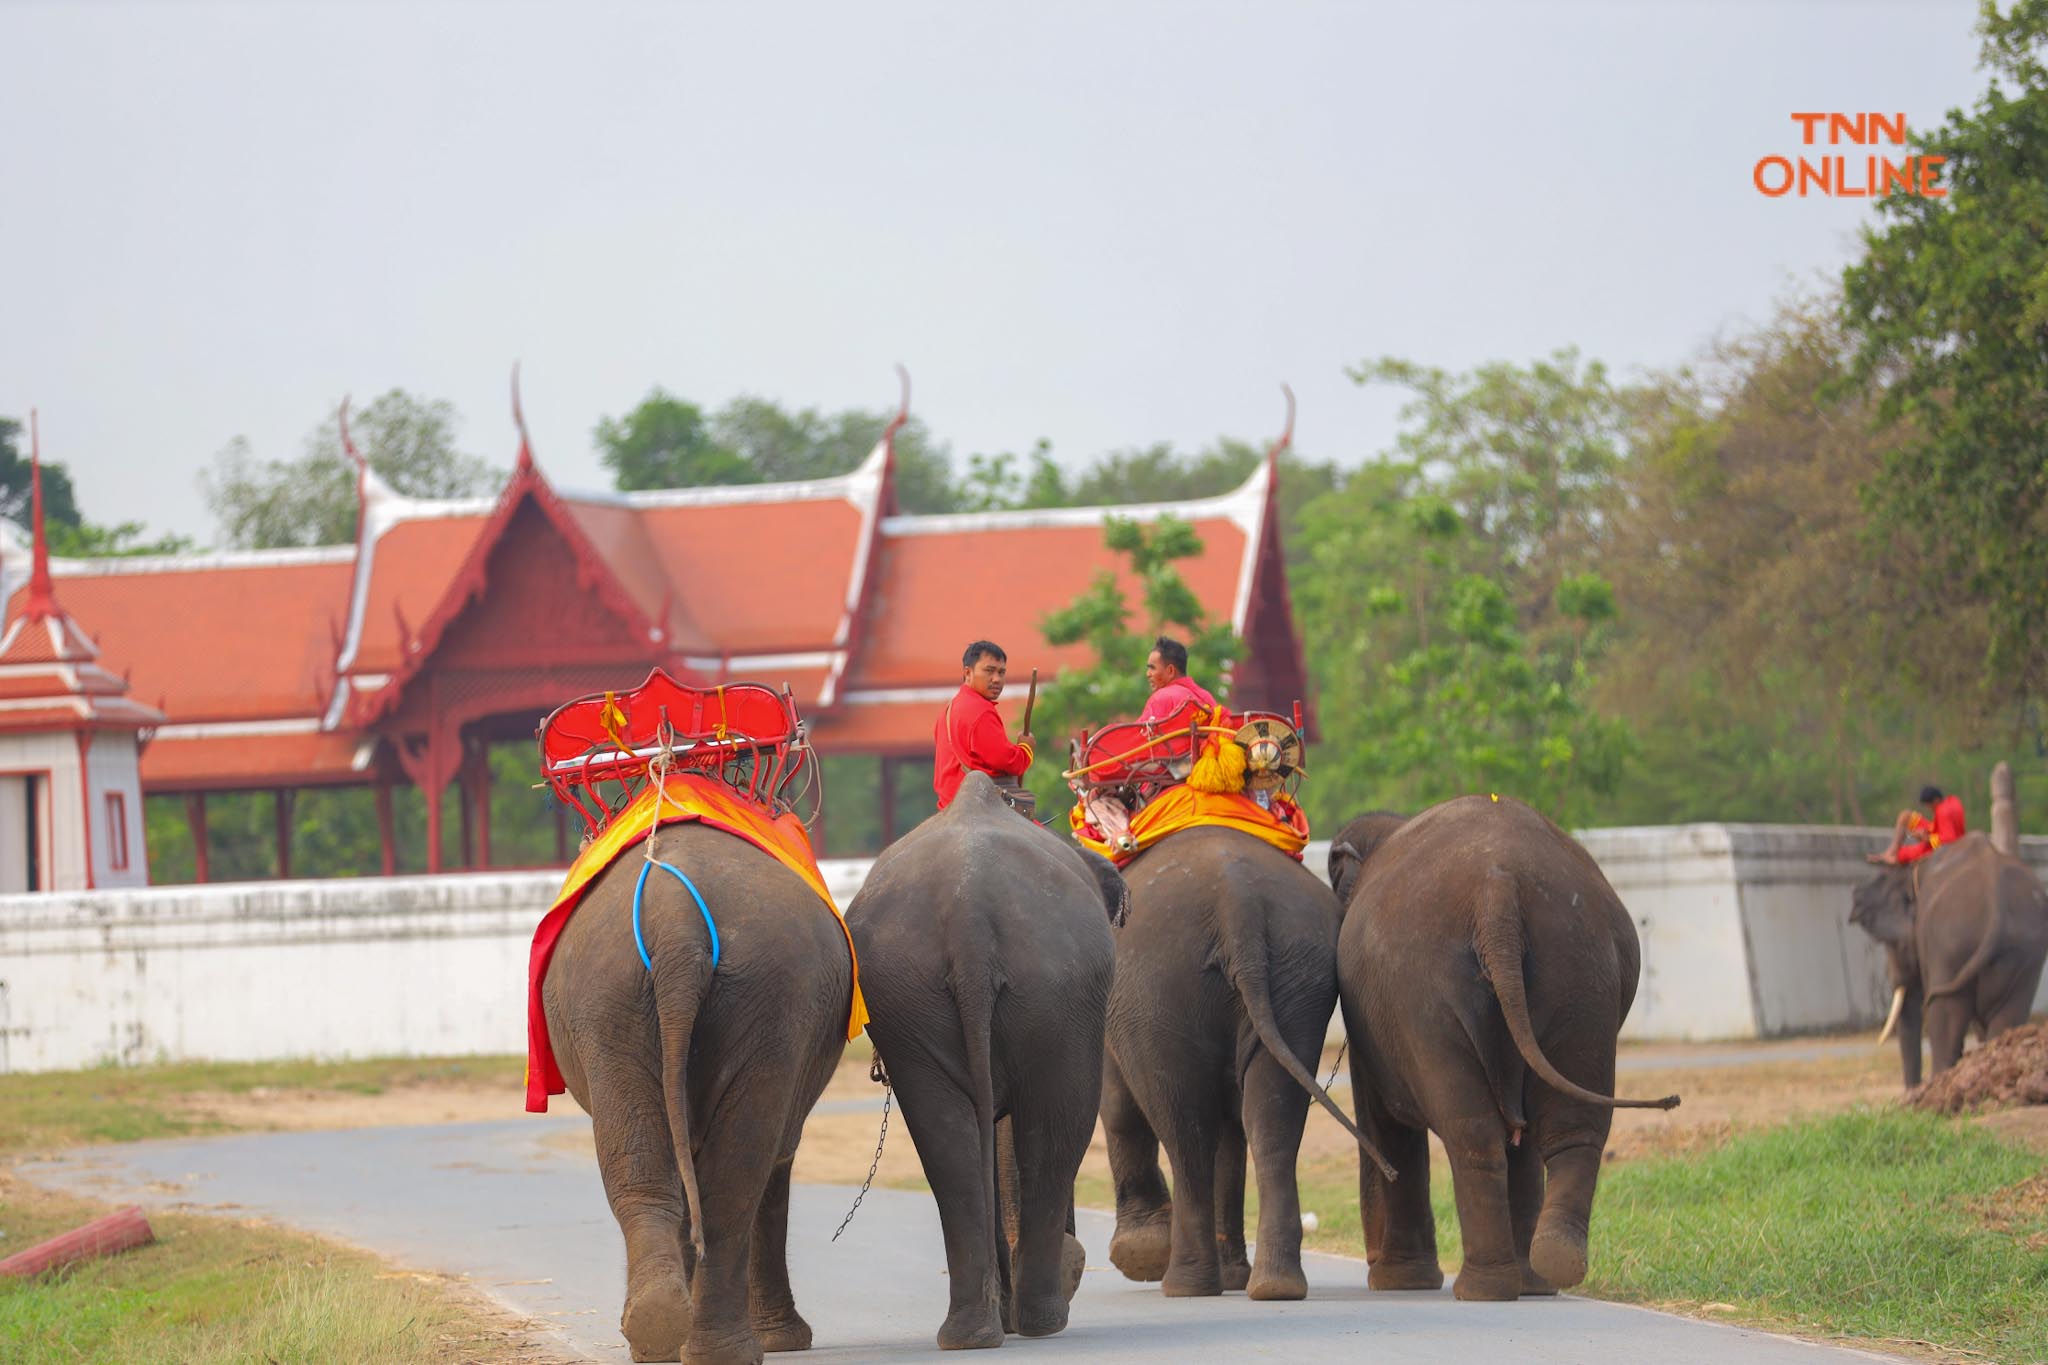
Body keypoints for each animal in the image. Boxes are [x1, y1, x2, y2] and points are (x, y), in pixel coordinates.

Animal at [540, 822, 851, 1365]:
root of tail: (677, 926)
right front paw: (782, 1343)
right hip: (724, 1002)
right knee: (730, 1172)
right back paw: (699, 1341)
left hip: (626, 1001)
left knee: (665, 1166)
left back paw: (666, 1334)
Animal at [843, 773, 1122, 1350]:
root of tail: (968, 912)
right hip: (1058, 989)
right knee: (1059, 1123)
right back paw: (1040, 1321)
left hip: (914, 993)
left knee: (946, 1139)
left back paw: (972, 1333)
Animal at [1097, 822, 1384, 1301]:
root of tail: (1238, 903)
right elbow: (1233, 1129)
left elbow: (1117, 1105)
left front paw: (1140, 1256)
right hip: (1297, 973)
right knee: (1271, 1119)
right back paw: (1274, 1285)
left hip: (1153, 987)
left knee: (1184, 1124)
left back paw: (1186, 1285)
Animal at [1327, 802, 1679, 1301]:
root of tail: (1498, 890)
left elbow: (1386, 1122)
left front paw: (1397, 1283)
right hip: (1581, 972)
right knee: (1571, 1128)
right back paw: (1548, 1269)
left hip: (1424, 996)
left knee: (1470, 1132)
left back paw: (1483, 1288)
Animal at [1851, 834, 2039, 1088]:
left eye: (1889, 942)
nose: (1910, 1092)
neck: (1911, 873)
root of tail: (1995, 901)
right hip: (2020, 954)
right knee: (2008, 1012)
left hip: (1951, 945)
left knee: (1944, 1015)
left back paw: (1940, 1079)